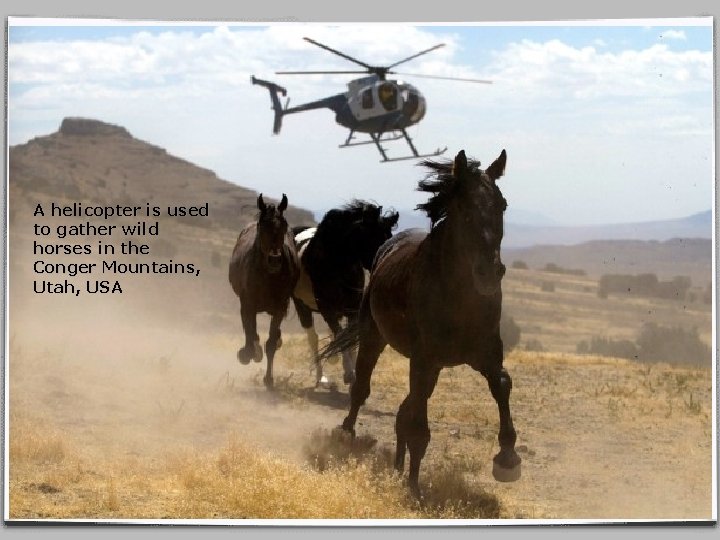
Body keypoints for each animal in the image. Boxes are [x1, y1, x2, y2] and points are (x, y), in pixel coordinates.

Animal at [228, 193, 300, 389]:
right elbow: (249, 332)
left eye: (284, 226)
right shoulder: (247, 305)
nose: (275, 260)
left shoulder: (280, 308)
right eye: (263, 226)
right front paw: (248, 354)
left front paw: (269, 379)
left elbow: (271, 342)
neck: (268, 276)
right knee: (251, 331)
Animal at [292, 201, 399, 387]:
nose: (385, 263)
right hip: (302, 306)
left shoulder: (352, 308)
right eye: (374, 238)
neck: (338, 265)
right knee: (313, 338)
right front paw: (348, 372)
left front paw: (352, 372)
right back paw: (321, 377)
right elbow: (341, 335)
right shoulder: (327, 308)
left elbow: (349, 337)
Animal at [320, 150, 521, 498]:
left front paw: (508, 458)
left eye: (503, 204)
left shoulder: (485, 353)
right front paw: (414, 487)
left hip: (433, 365)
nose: (489, 273)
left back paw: (397, 466)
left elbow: (502, 383)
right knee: (362, 389)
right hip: (376, 337)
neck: (457, 297)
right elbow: (417, 425)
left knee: (409, 404)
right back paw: (347, 435)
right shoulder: (424, 357)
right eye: (463, 209)